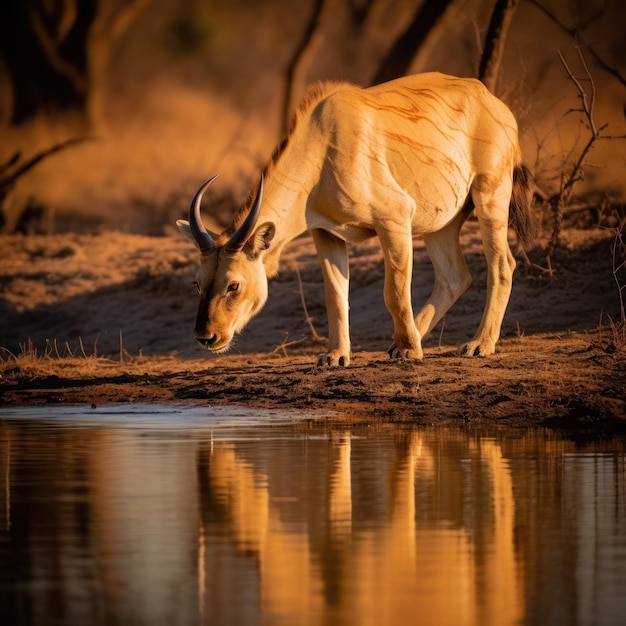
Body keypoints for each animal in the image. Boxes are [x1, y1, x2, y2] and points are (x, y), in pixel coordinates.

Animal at [177, 72, 532, 366]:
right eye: (197, 282)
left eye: (233, 285)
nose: (206, 337)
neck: (322, 148)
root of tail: (494, 103)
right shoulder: (327, 234)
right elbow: (335, 296)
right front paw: (336, 356)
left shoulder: (394, 218)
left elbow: (394, 293)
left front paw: (409, 351)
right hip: (440, 225)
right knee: (455, 276)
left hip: (490, 198)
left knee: (502, 265)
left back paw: (478, 344)